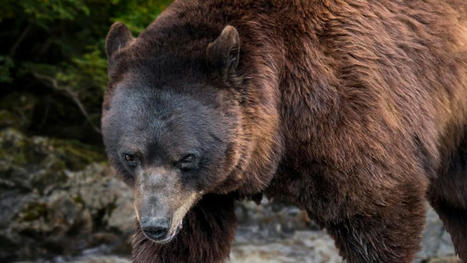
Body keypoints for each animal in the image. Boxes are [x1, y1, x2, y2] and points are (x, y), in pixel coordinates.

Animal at [102, 1, 467, 262]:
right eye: (130, 156)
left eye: (187, 157)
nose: (155, 226)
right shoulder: (200, 195)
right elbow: (188, 242)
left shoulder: (346, 108)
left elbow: (378, 213)